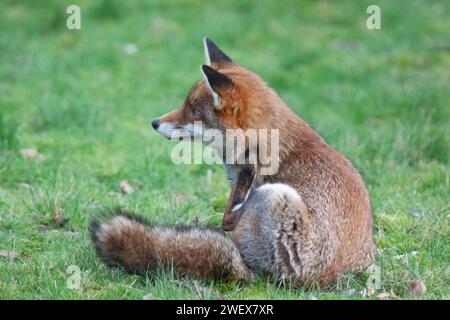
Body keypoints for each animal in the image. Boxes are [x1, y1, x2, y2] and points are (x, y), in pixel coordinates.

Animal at [90, 37, 376, 284]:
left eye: (194, 110)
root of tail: (321, 278)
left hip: (276, 194)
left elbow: (227, 219)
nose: (154, 122)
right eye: (186, 104)